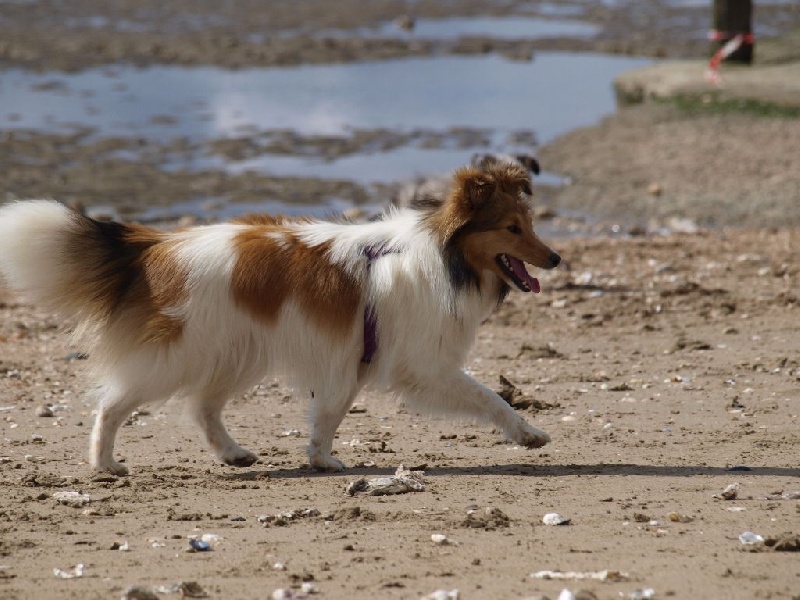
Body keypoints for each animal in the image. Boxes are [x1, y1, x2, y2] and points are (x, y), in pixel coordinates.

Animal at [0, 158, 564, 474]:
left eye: (530, 224)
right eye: (512, 228)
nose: (557, 258)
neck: (441, 256)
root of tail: (152, 246)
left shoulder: (352, 360)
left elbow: (329, 415)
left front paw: (320, 458)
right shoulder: (421, 366)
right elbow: (490, 397)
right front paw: (527, 433)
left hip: (234, 355)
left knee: (202, 409)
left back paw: (234, 454)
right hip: (178, 357)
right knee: (112, 405)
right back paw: (105, 464)